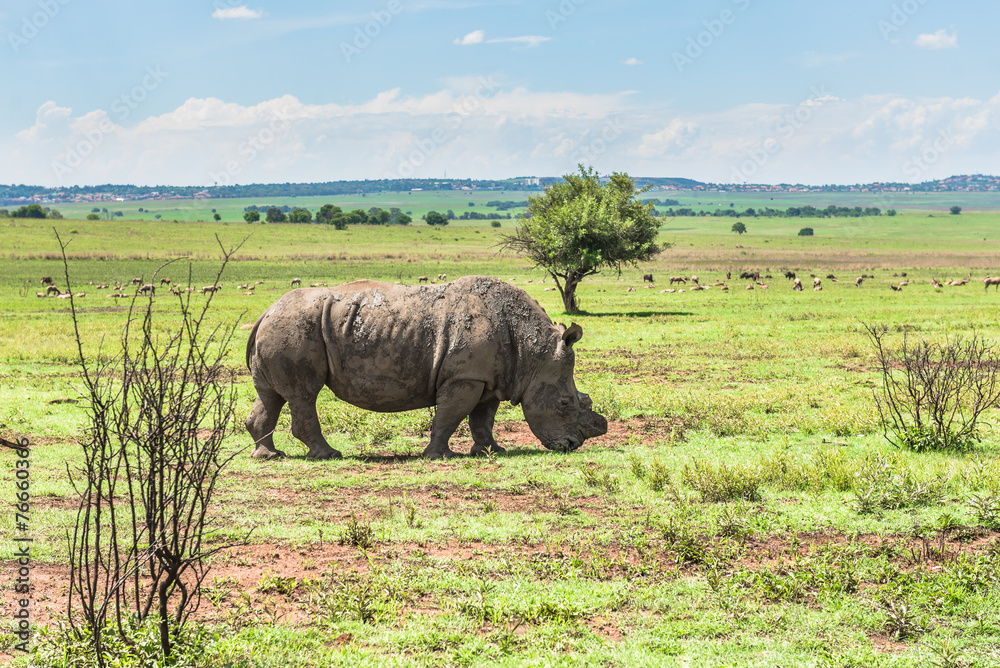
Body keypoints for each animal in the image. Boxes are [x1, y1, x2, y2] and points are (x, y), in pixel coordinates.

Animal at [245, 275, 607, 459]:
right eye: (565, 403)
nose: (572, 446)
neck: (533, 351)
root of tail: (264, 311)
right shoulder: (463, 376)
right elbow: (451, 416)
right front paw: (438, 456)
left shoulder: (489, 378)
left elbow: (482, 419)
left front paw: (491, 451)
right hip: (292, 328)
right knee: (303, 395)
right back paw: (328, 455)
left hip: (281, 328)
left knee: (271, 395)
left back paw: (269, 456)